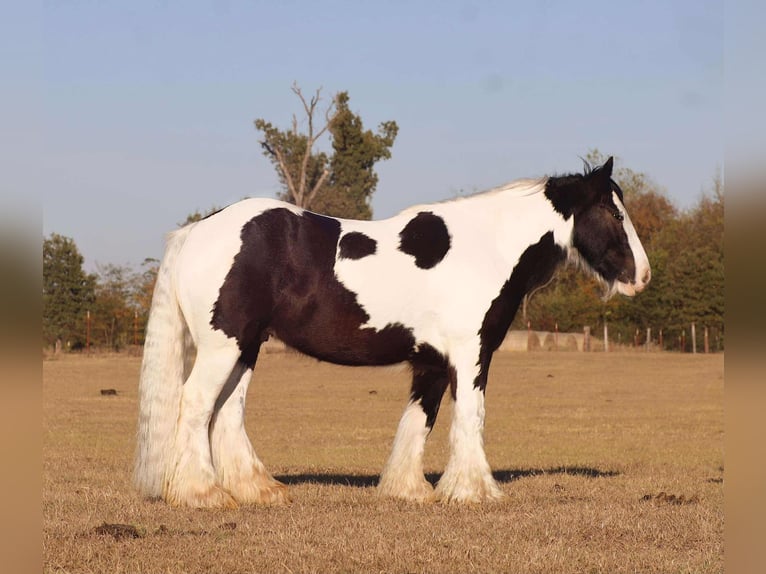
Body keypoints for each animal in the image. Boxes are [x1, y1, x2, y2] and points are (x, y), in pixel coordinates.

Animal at [135, 158, 652, 508]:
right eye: (614, 214)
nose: (642, 276)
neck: (485, 248)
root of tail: (196, 231)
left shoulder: (432, 362)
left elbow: (419, 420)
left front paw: (409, 490)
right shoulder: (471, 354)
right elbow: (471, 416)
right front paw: (474, 491)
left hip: (245, 347)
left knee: (227, 411)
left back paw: (258, 490)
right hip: (222, 346)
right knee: (196, 404)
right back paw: (202, 493)